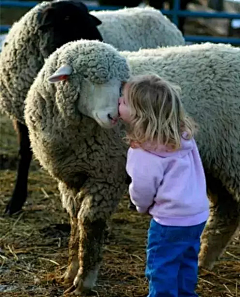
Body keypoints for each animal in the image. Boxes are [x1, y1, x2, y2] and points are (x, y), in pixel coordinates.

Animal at [23, 40, 239, 294]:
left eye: (120, 84)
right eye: (89, 78)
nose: (113, 116)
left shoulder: (105, 176)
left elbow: (90, 225)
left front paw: (84, 281)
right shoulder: (71, 179)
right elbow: (75, 223)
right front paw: (71, 272)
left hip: (233, 157)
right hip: (216, 163)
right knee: (226, 211)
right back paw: (202, 261)